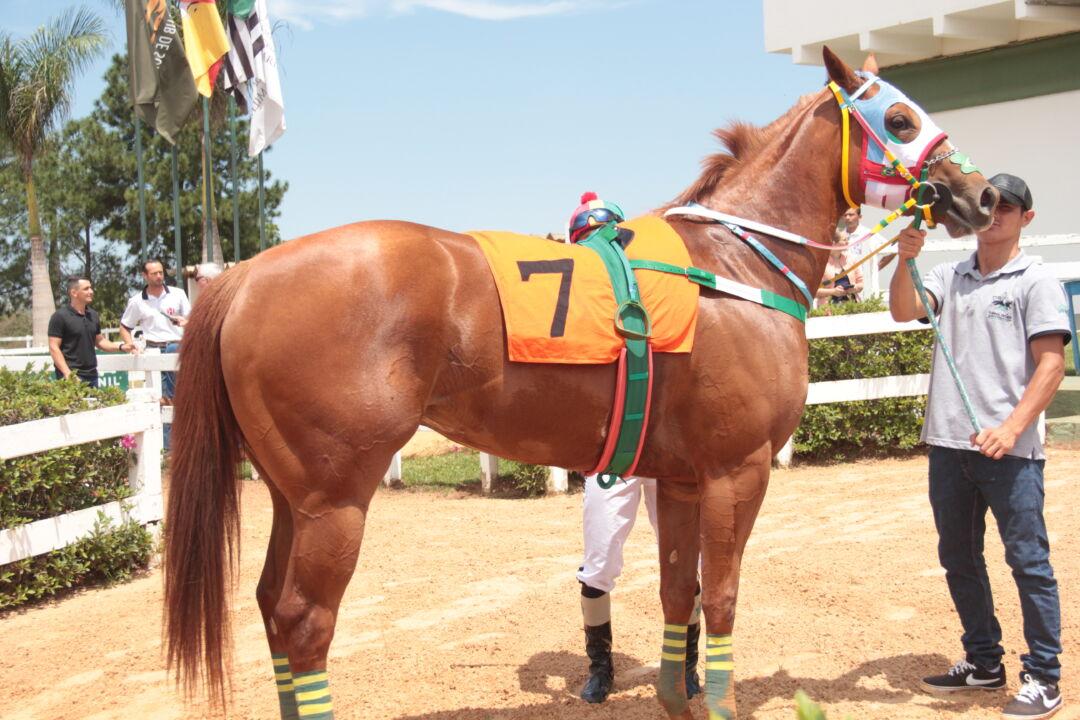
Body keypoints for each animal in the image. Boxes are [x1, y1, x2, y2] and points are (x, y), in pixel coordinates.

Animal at [162, 47, 993, 716]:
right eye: (900, 118)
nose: (981, 194)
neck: (734, 264)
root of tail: (243, 274)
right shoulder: (738, 470)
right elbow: (722, 595)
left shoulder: (682, 479)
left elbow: (678, 593)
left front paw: (678, 700)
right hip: (335, 501)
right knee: (303, 621)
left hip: (289, 495)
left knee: (270, 607)